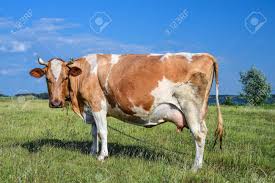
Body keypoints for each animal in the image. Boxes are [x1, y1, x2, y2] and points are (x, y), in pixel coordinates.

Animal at [30, 52, 224, 172]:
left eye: (65, 78)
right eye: (47, 79)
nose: (56, 102)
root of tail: (205, 55)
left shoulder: (98, 105)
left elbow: (102, 132)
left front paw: (102, 156)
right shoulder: (91, 108)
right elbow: (94, 132)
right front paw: (92, 152)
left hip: (191, 107)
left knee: (199, 135)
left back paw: (195, 167)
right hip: (199, 113)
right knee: (203, 132)